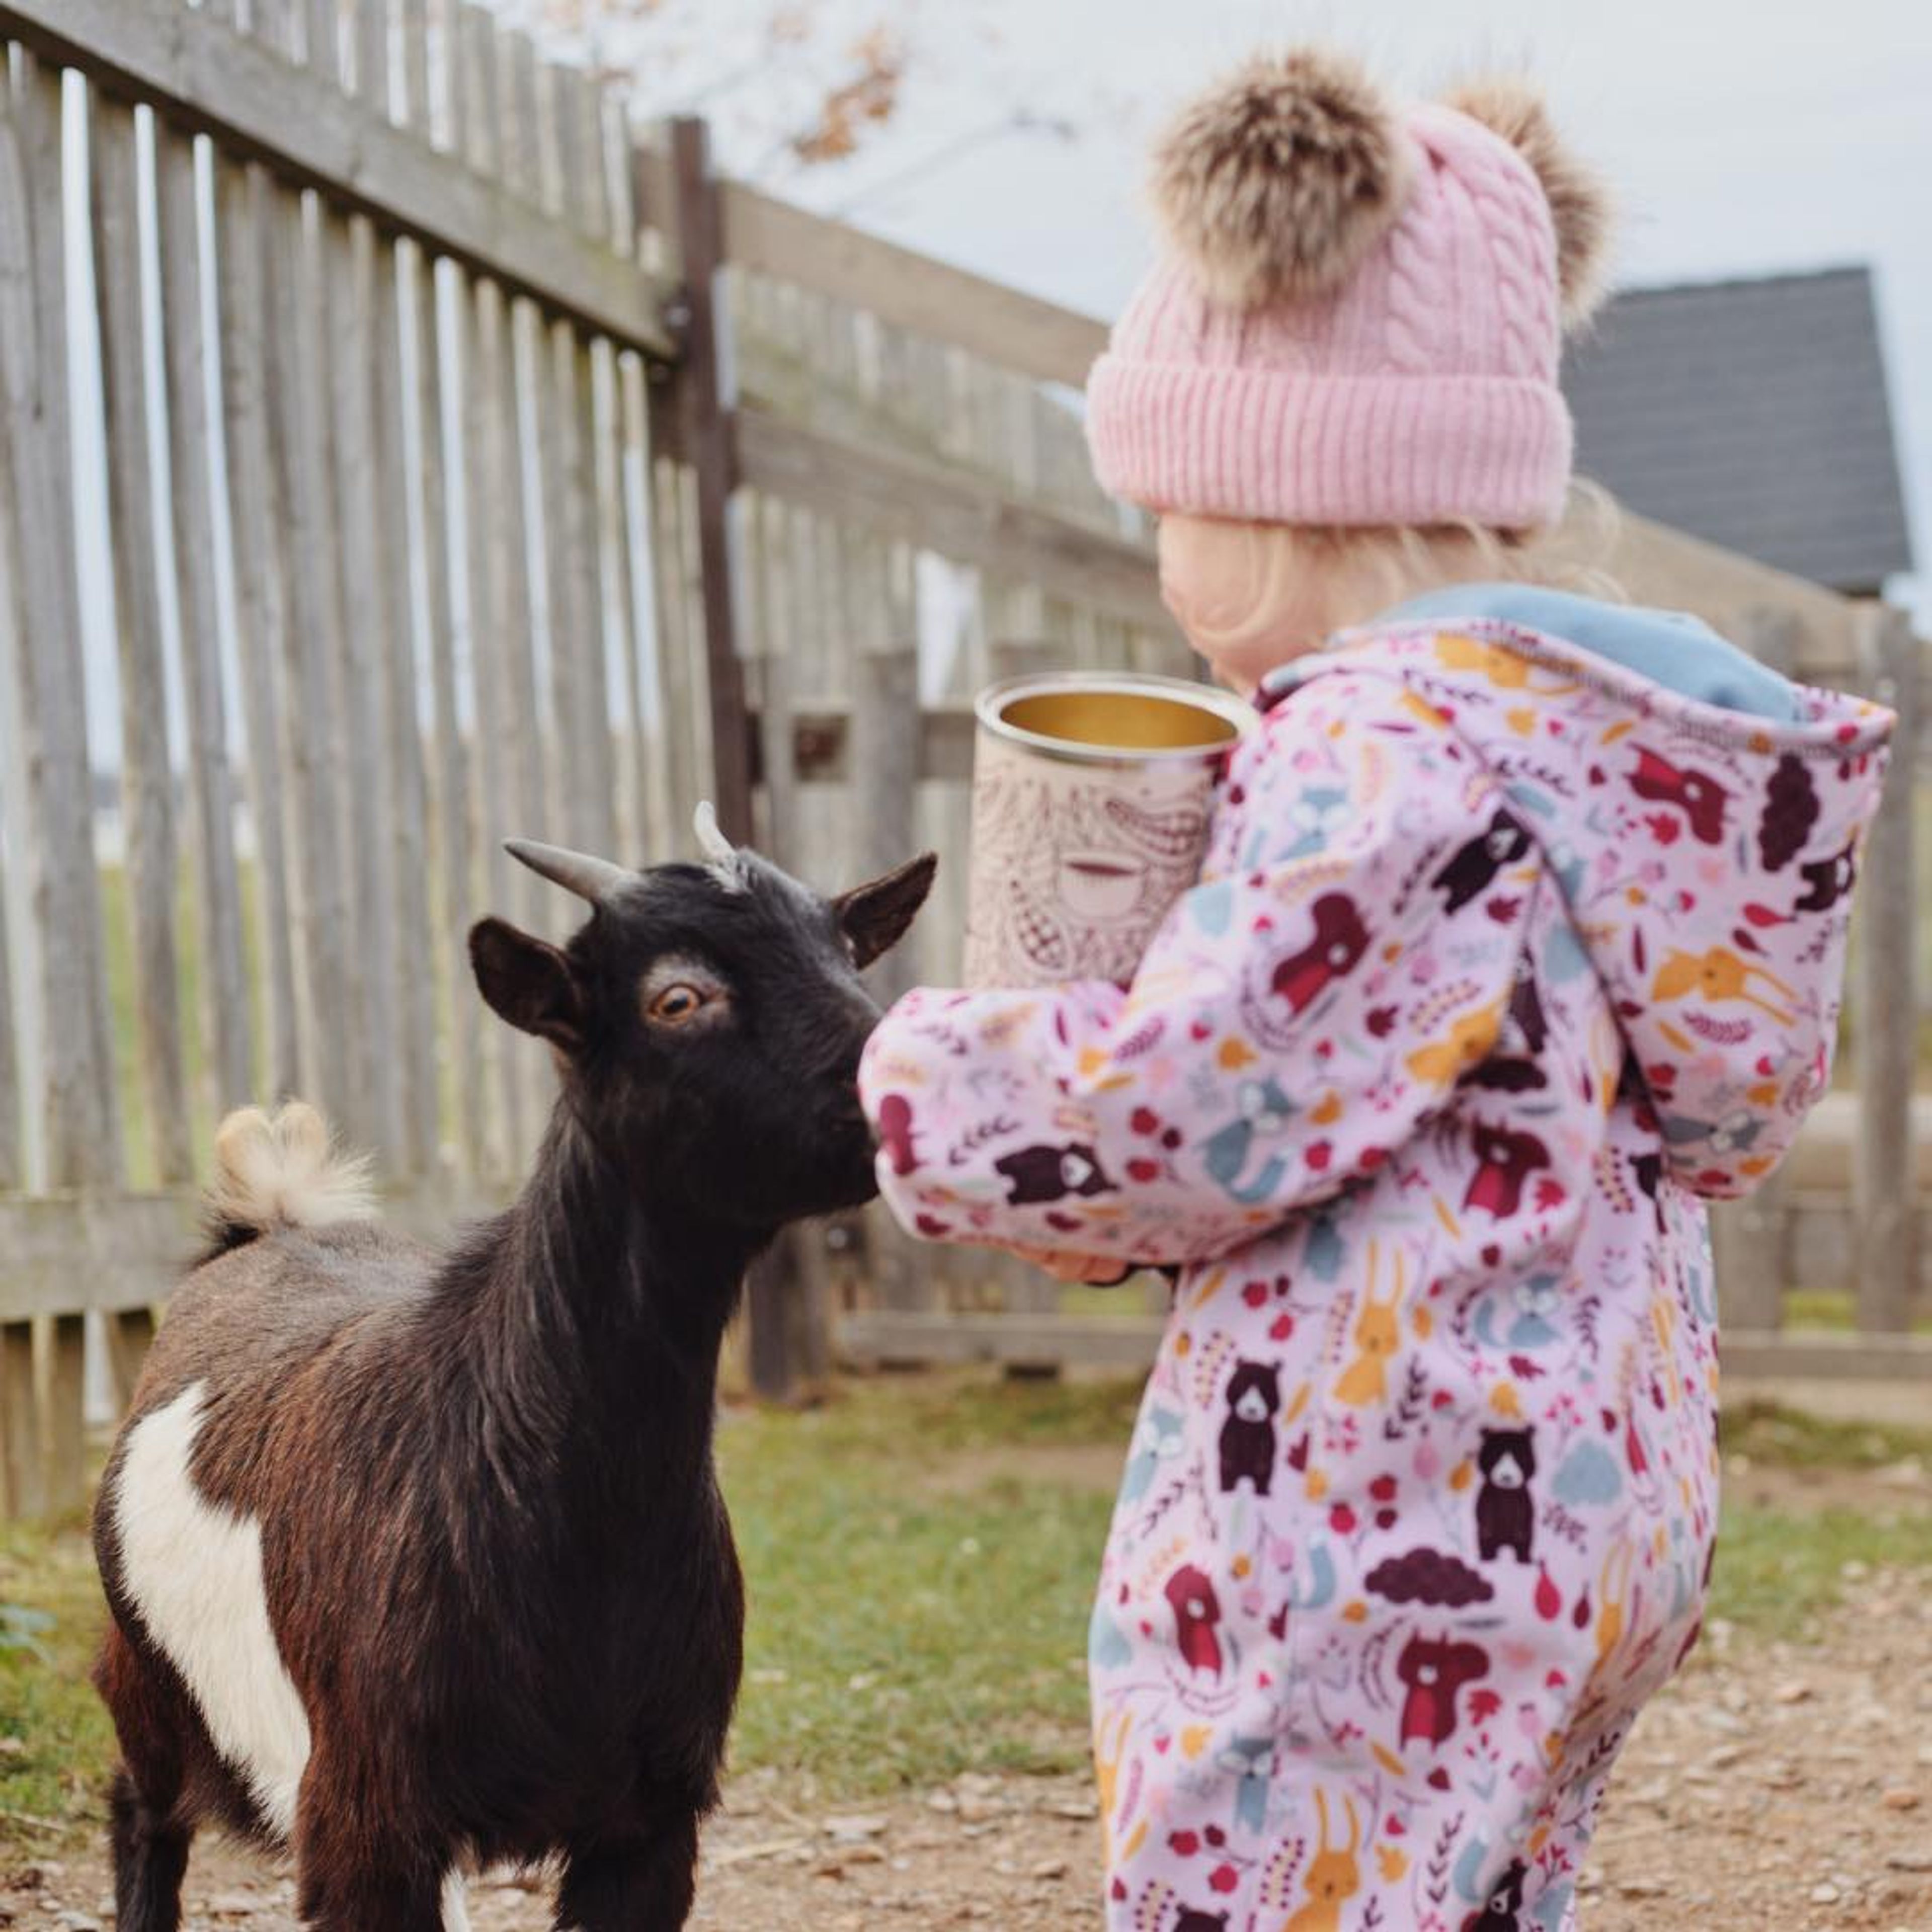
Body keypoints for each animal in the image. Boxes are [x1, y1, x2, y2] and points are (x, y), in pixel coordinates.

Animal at [92, 823, 935, 1924]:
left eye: (844, 955)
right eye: (677, 999)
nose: (910, 1086)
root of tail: (268, 1218)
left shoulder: (650, 1819)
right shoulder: (364, 1821)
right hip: (147, 1686)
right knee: (141, 1816)